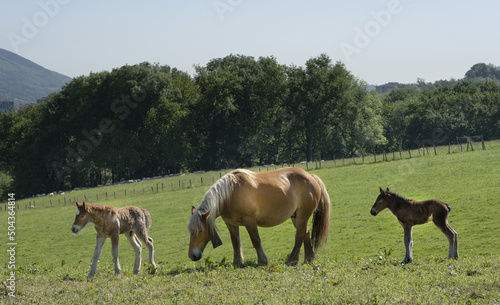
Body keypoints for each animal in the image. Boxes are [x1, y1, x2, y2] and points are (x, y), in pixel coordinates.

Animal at [189, 167, 330, 264]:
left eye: (200, 230)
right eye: (190, 231)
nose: (192, 256)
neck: (231, 193)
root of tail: (310, 176)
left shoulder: (250, 221)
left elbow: (256, 240)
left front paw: (262, 260)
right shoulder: (231, 223)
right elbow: (235, 242)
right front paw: (238, 261)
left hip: (302, 216)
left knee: (299, 236)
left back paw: (291, 260)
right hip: (296, 217)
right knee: (306, 233)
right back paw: (308, 259)